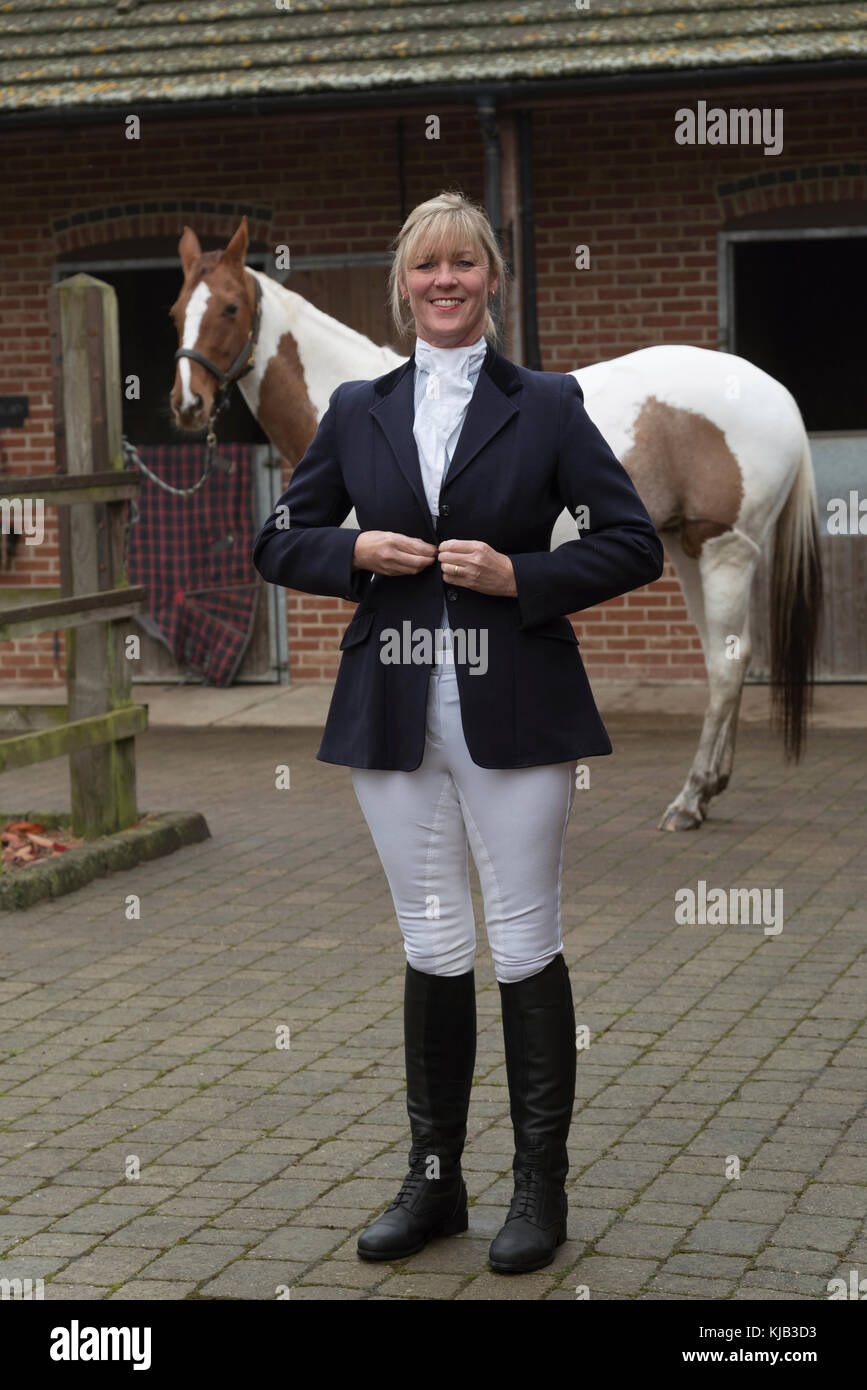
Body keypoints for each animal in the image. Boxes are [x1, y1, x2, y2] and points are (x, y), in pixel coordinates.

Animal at [169, 217, 823, 831]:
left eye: (230, 307)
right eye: (176, 310)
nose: (187, 405)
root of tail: (778, 394)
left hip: (723, 551)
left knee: (729, 665)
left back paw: (689, 800)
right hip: (686, 550)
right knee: (723, 657)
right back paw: (709, 789)